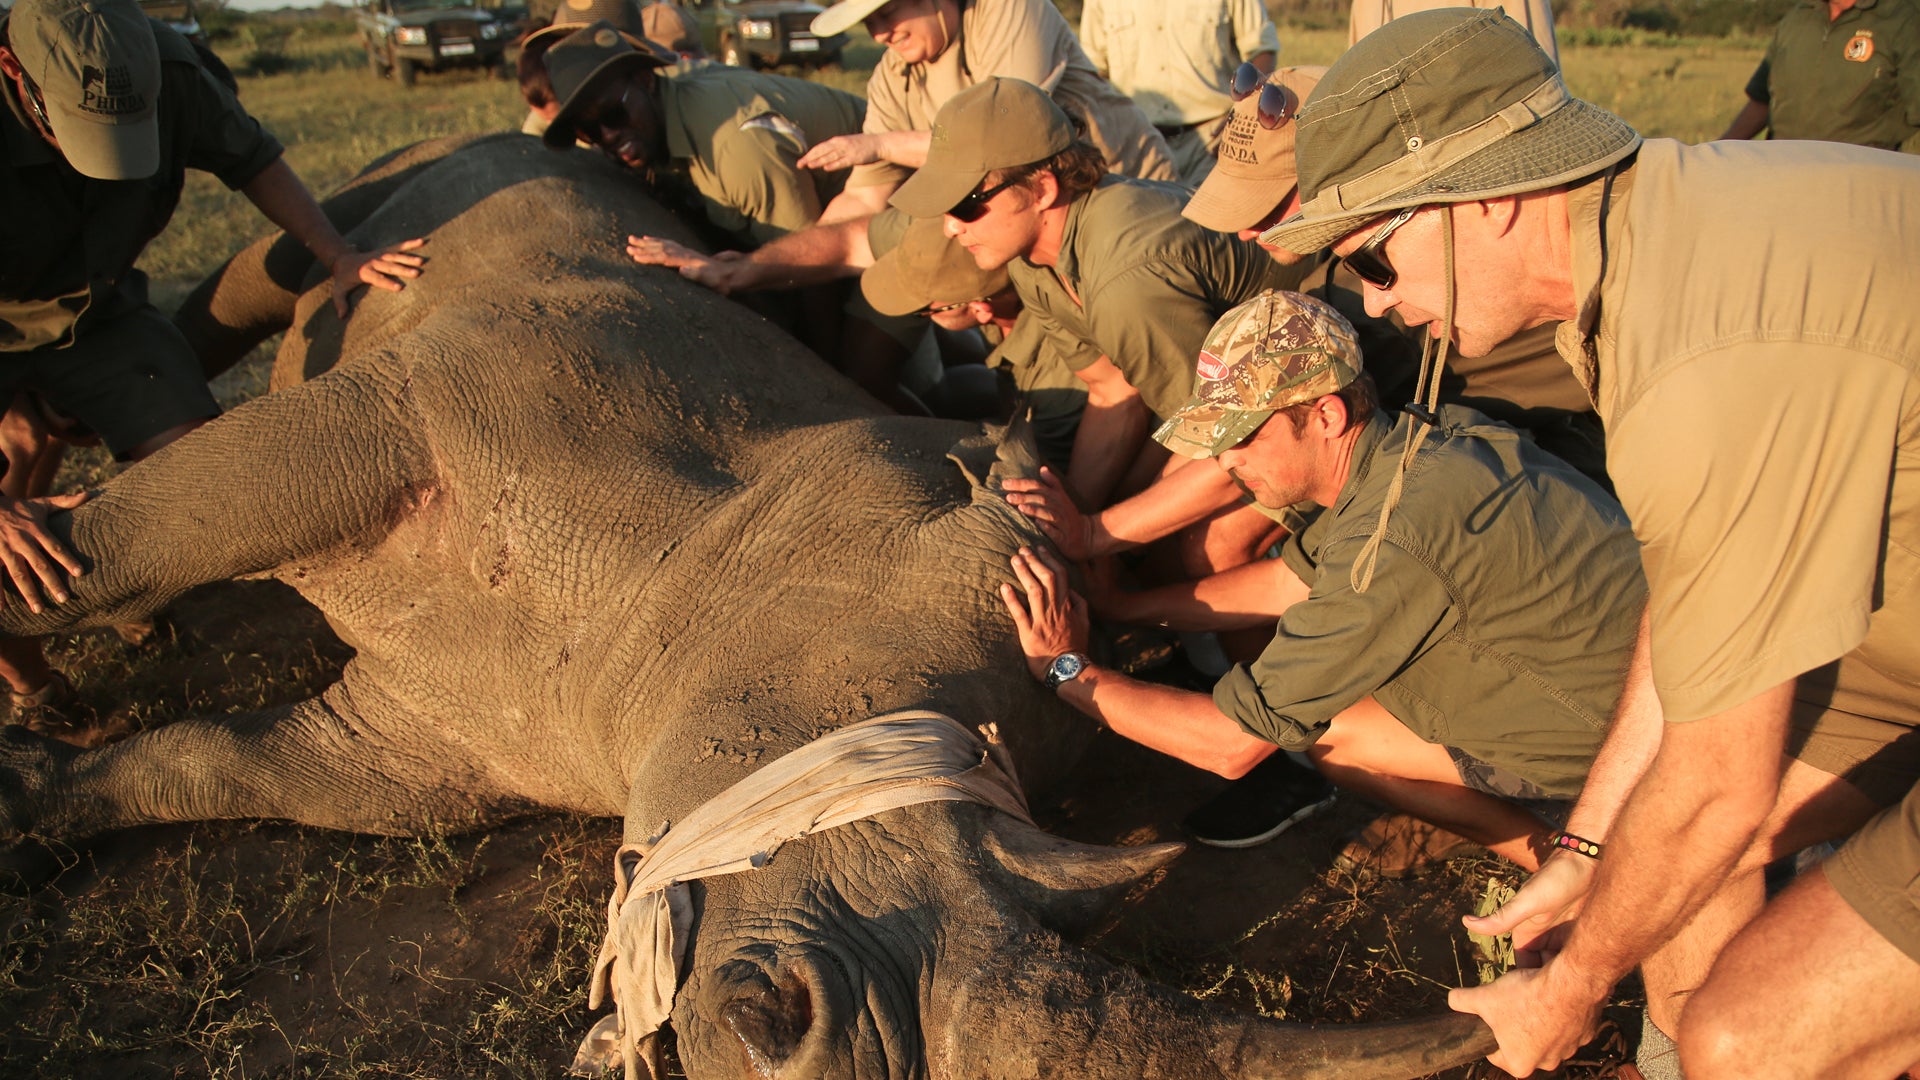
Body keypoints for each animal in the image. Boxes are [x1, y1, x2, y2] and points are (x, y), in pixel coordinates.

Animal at [0, 134, 1495, 1079]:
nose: (793, 1031)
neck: (683, 581)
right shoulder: (435, 398)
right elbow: (139, 536)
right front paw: (32, 575)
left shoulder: (453, 735)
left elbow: (233, 766)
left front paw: (34, 806)